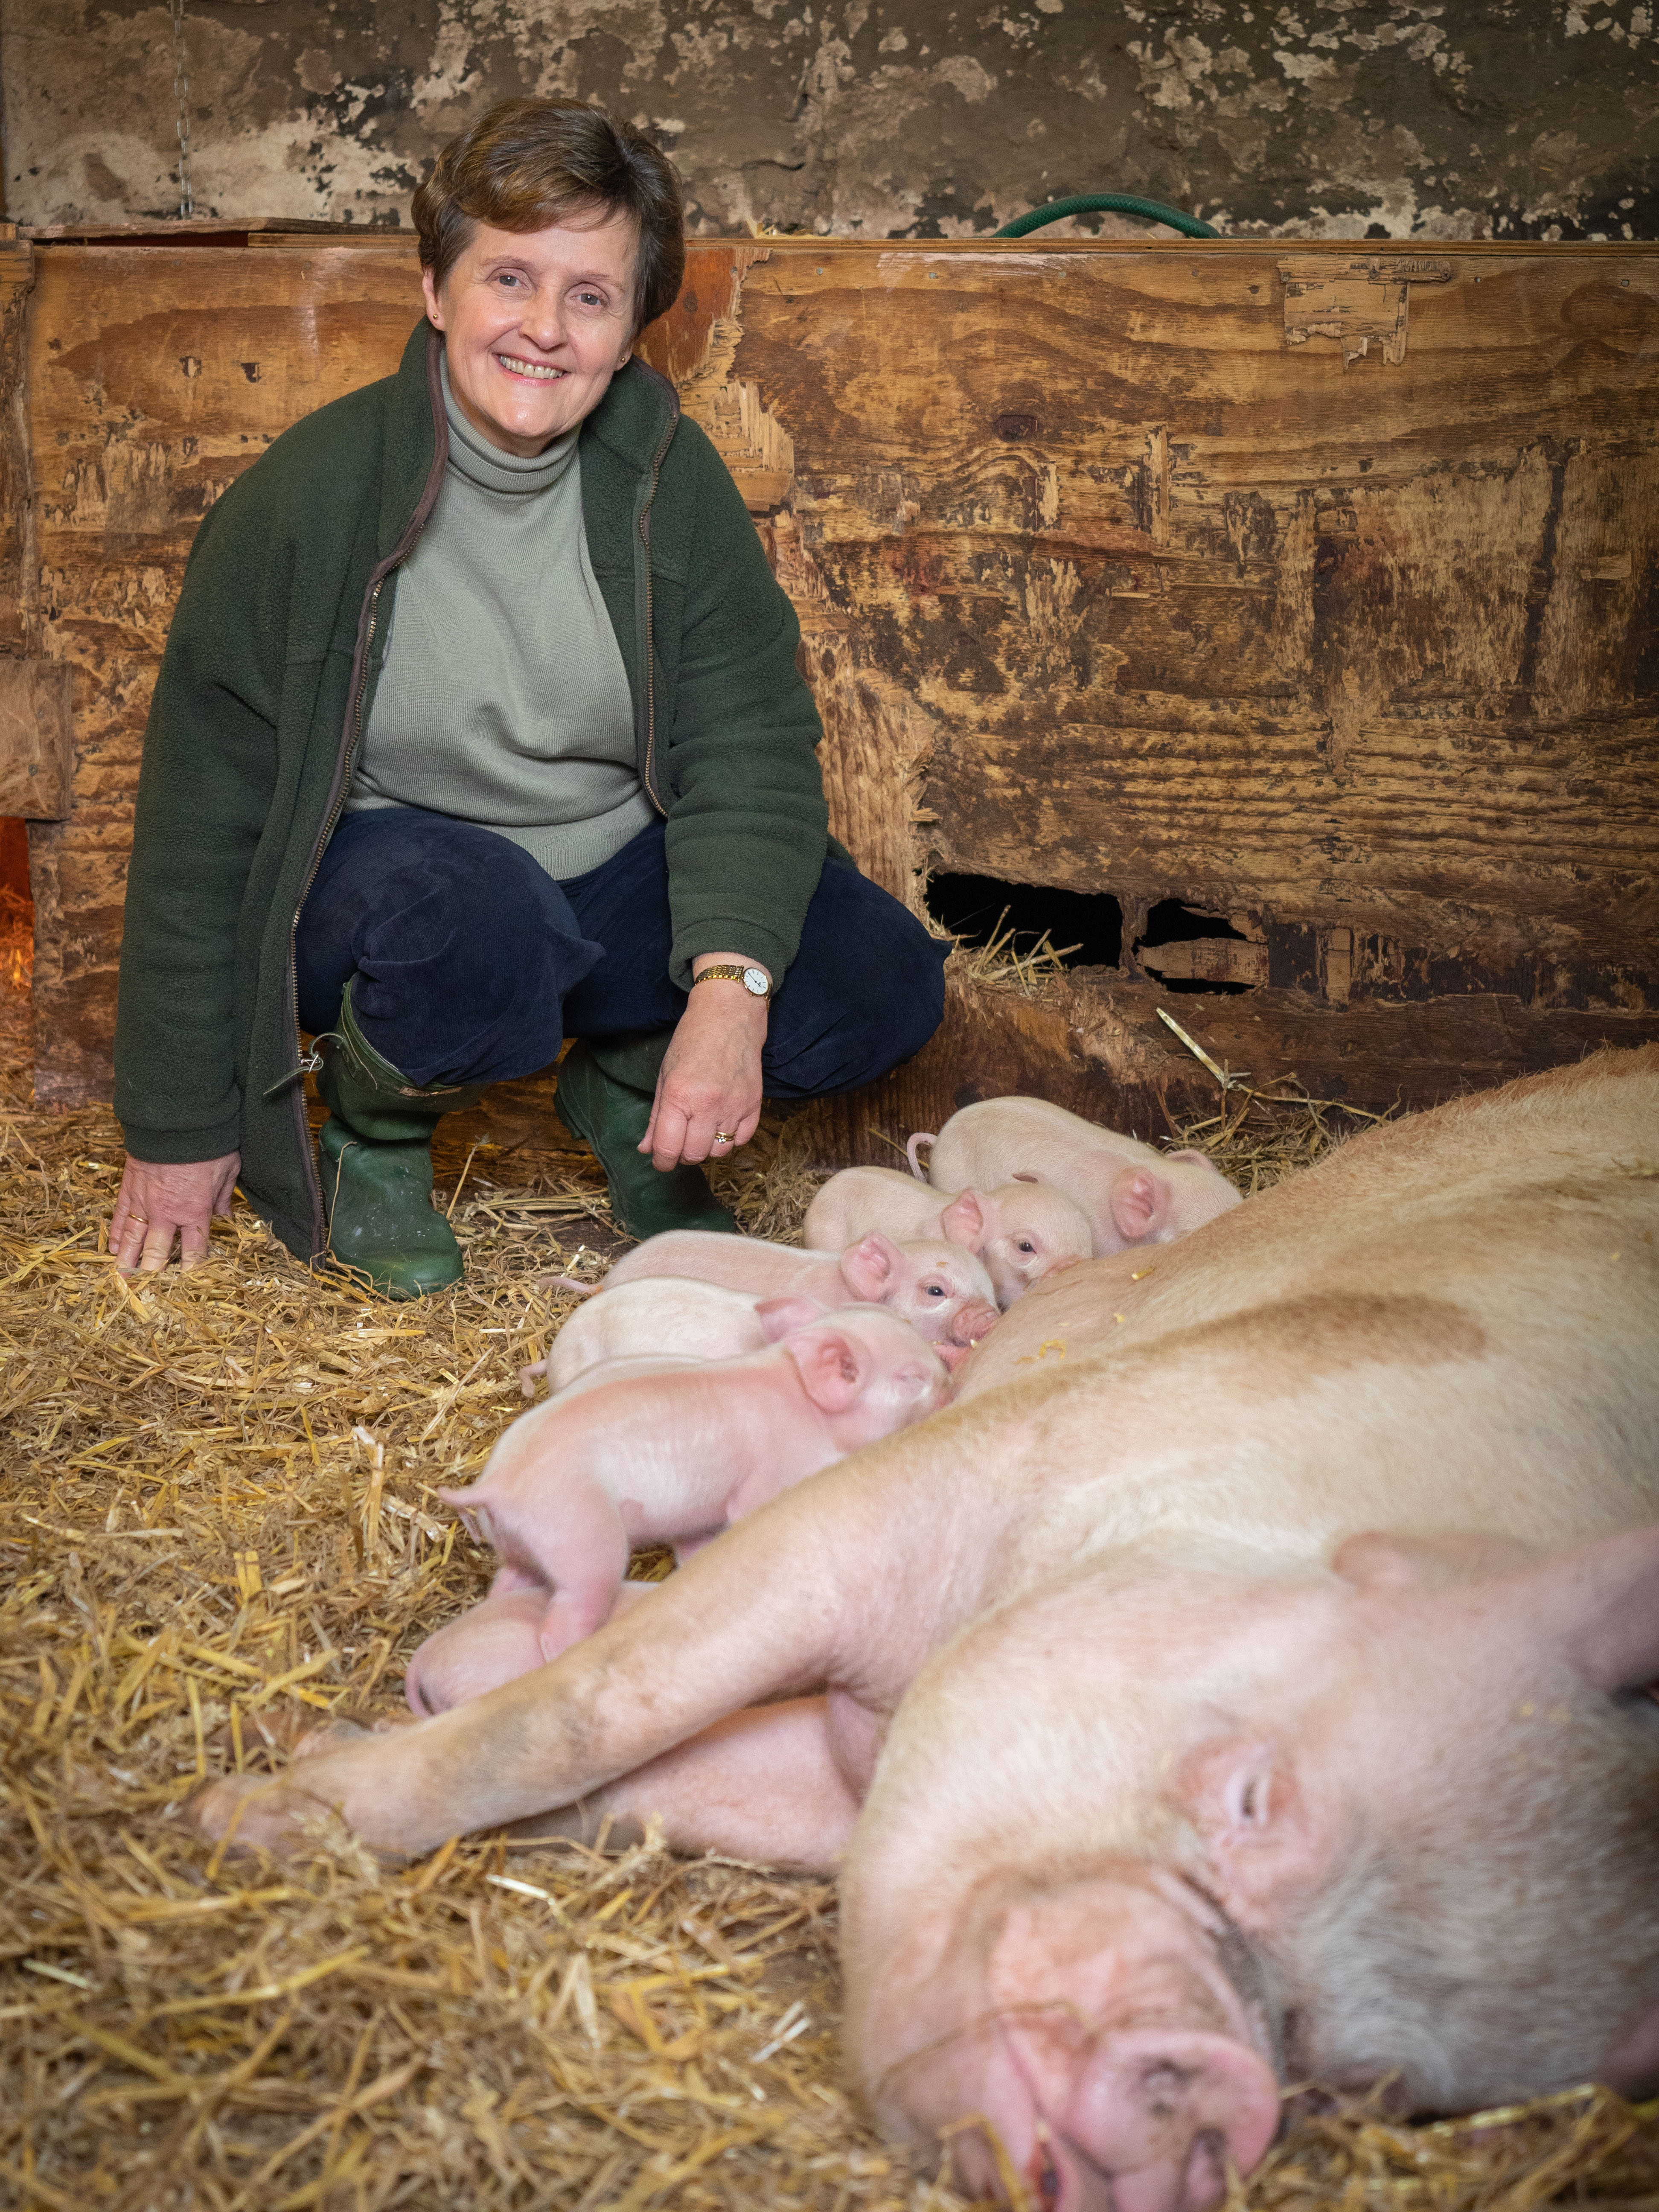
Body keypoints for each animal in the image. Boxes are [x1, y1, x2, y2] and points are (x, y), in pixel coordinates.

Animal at [429, 1303, 951, 1669]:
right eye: (910, 1378)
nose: (950, 1383)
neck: (808, 1407)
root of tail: (498, 1483)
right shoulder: (770, 1476)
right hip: (582, 1541)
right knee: (565, 1618)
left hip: (521, 1546)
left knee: (507, 1585)